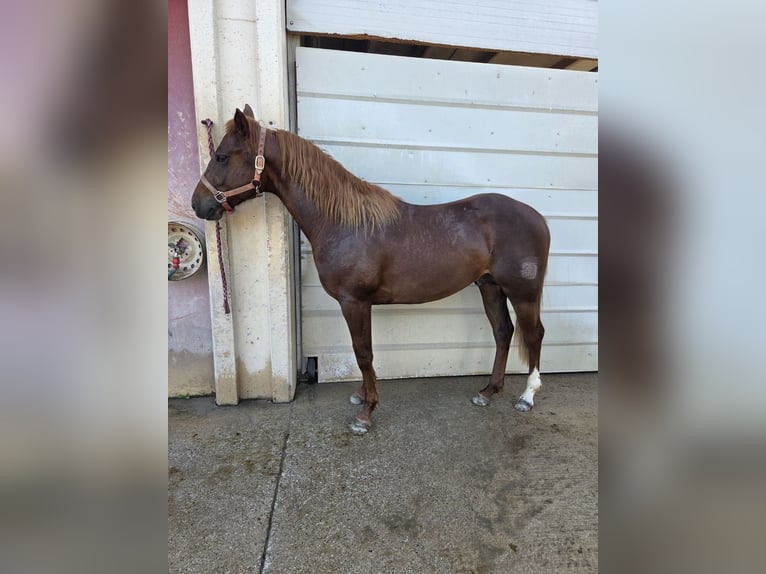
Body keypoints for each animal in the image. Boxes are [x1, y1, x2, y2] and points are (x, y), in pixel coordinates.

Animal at [192, 106, 550, 435]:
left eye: (222, 157)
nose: (198, 204)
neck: (343, 223)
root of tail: (538, 218)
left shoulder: (355, 302)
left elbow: (363, 353)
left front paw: (365, 413)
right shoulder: (358, 304)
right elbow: (361, 351)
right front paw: (362, 396)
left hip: (523, 293)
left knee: (534, 333)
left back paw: (527, 397)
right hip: (489, 286)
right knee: (503, 332)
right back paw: (487, 392)